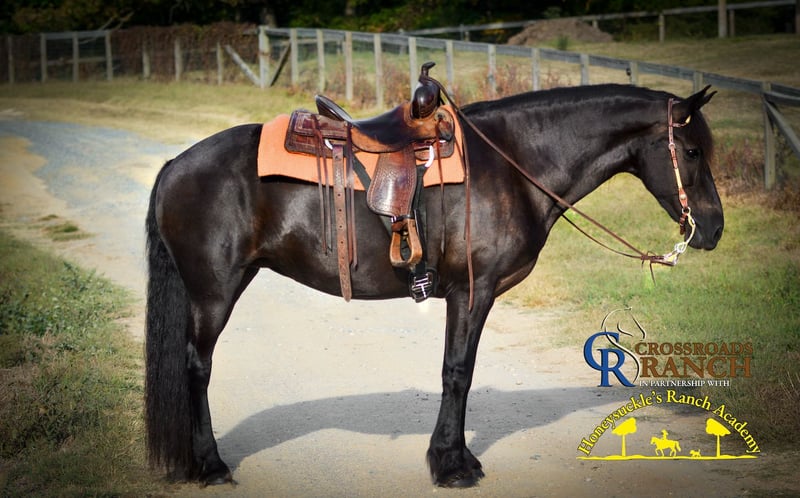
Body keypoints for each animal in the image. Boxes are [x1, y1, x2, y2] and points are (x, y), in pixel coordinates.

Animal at [144, 83, 723, 487]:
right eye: (693, 151)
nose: (714, 229)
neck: (512, 162)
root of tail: (174, 165)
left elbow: (457, 372)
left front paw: (455, 457)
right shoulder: (473, 292)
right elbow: (457, 372)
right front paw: (451, 464)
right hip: (214, 293)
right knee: (197, 369)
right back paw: (211, 464)